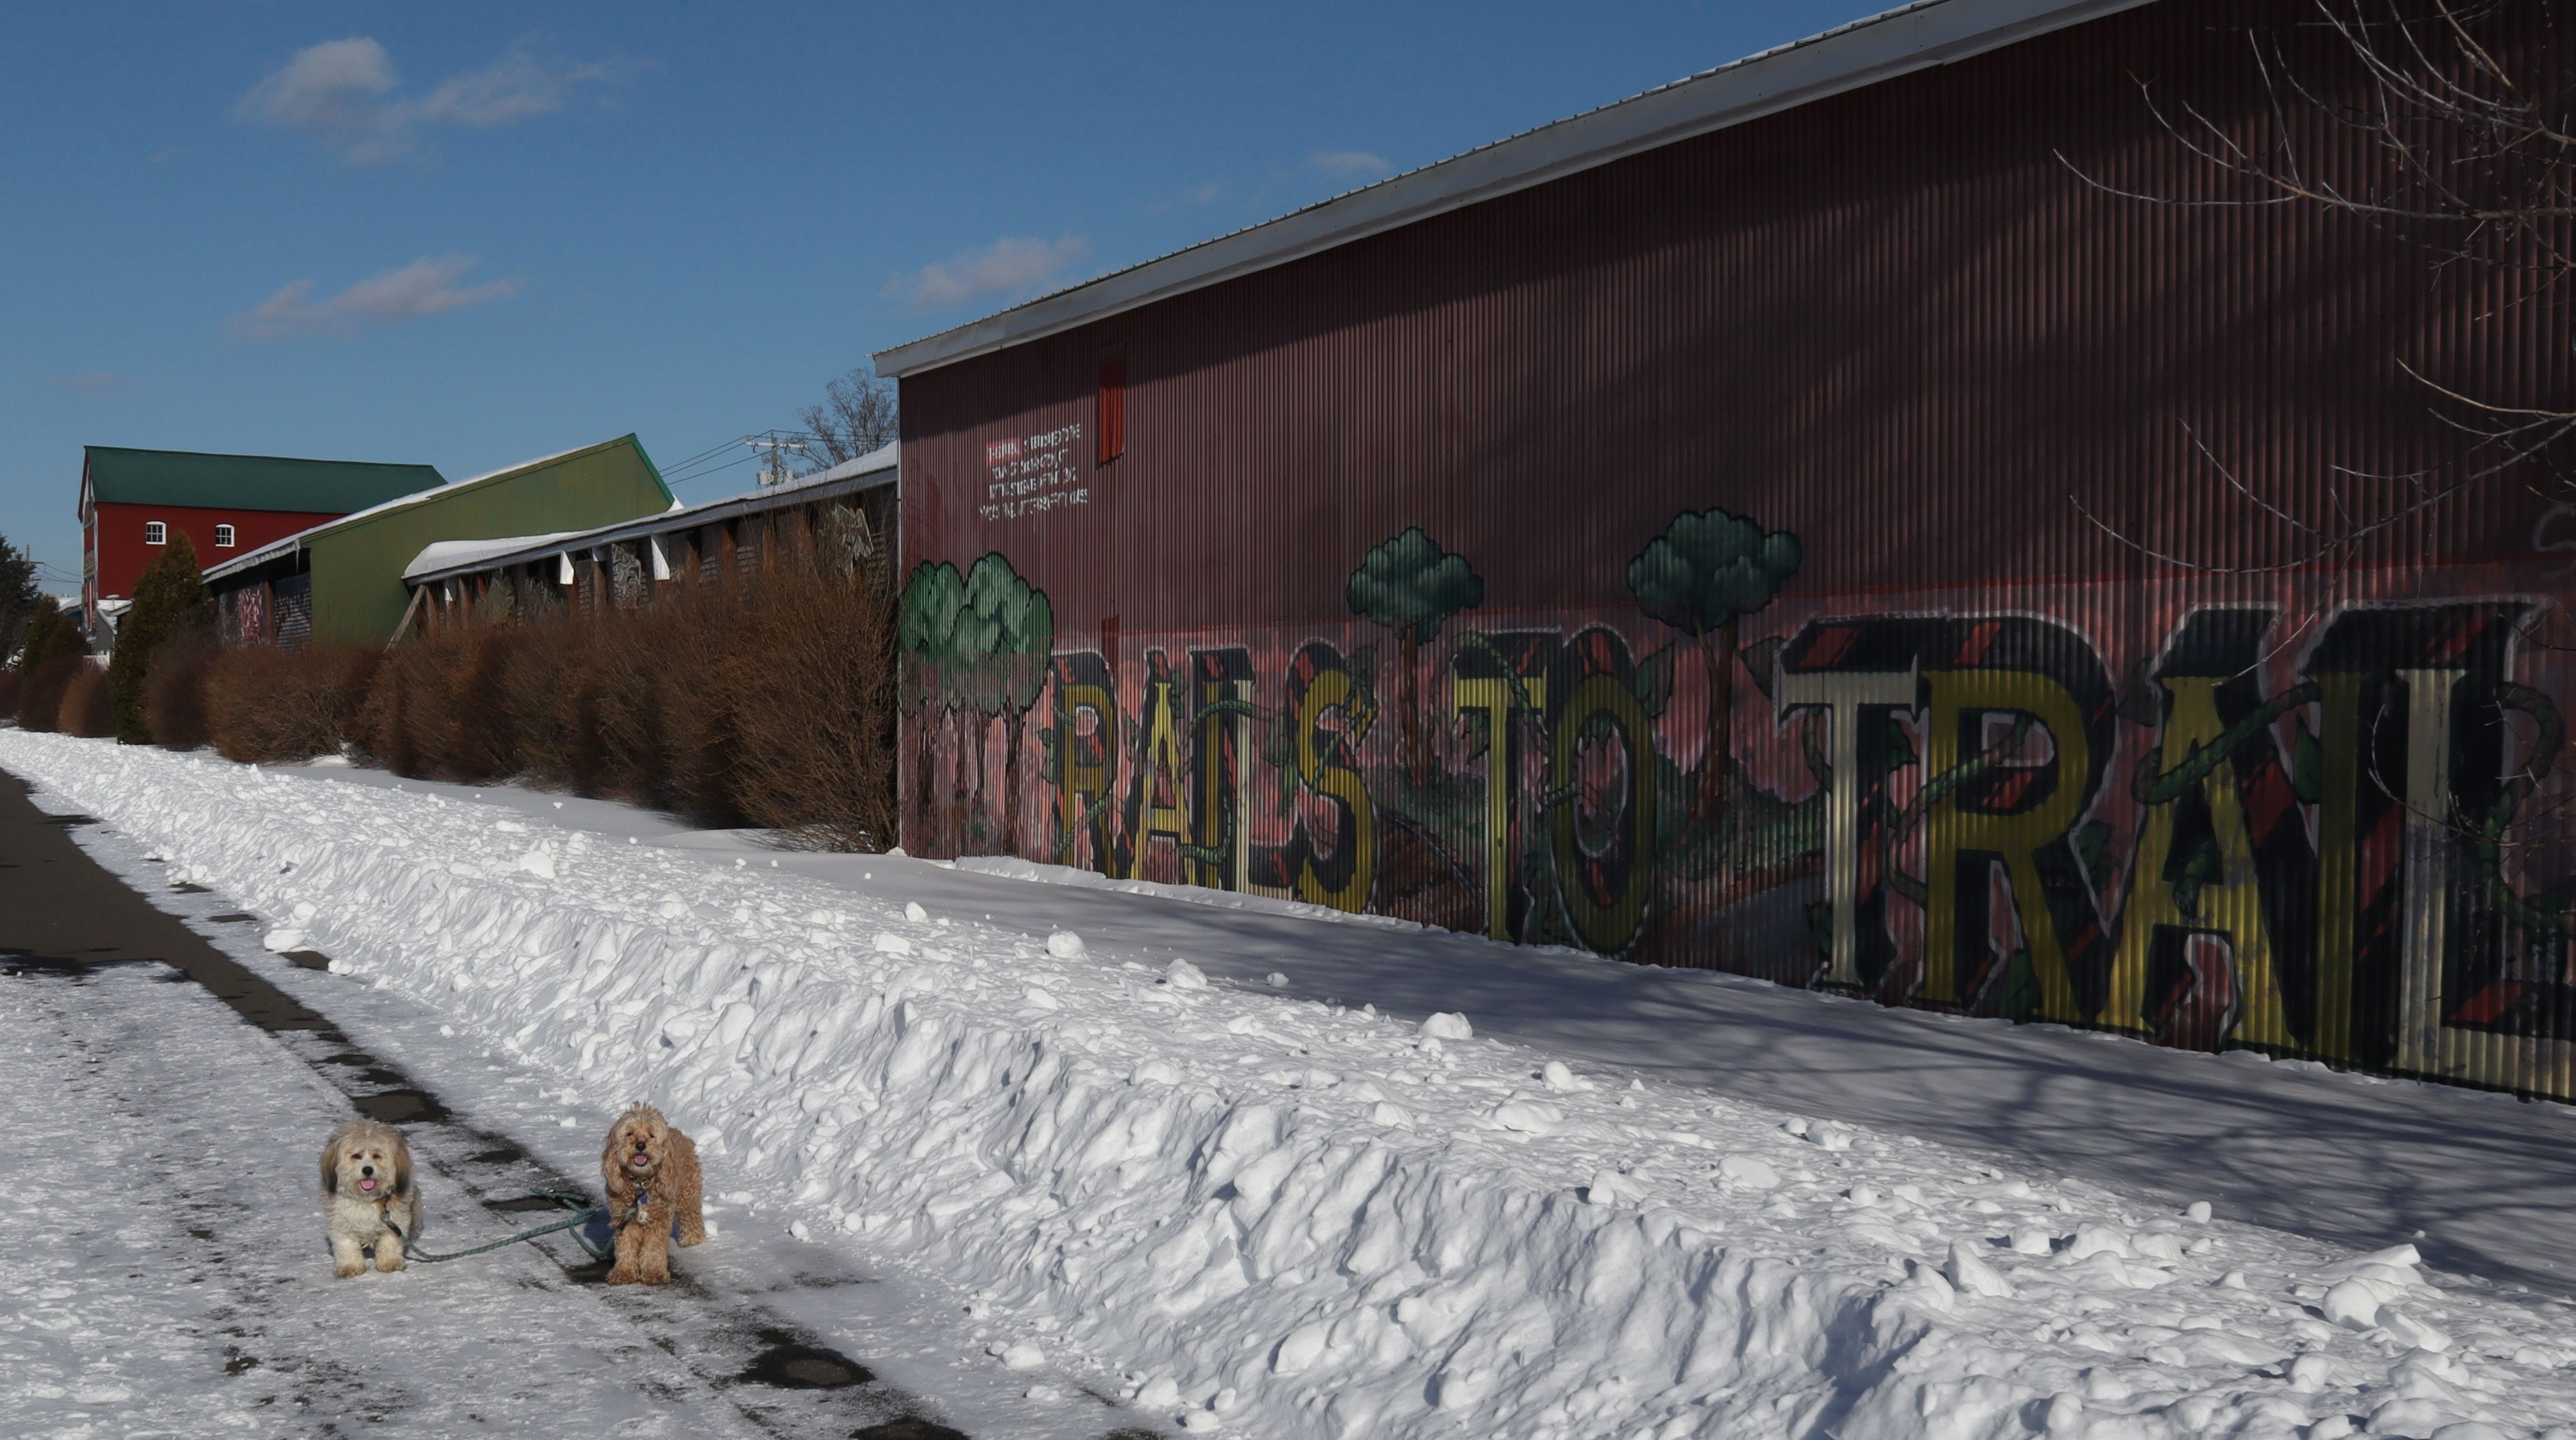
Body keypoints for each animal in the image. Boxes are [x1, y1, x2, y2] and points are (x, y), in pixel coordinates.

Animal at [320, 1119, 419, 1277]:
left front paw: (390, 1263)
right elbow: (346, 1245)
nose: (368, 1170)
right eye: (356, 1156)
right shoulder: (340, 1222)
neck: (367, 1199)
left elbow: (390, 1242)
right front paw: (350, 1266)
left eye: (376, 1156)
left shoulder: (395, 1220)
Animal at [600, 1103, 706, 1285]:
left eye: (651, 1135)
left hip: (688, 1194)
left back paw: (693, 1239)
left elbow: (654, 1248)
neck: (641, 1183)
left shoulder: (659, 1219)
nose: (641, 1145)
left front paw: (654, 1272)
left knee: (691, 1215)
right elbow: (626, 1245)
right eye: (630, 1133)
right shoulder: (624, 1219)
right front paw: (623, 1272)